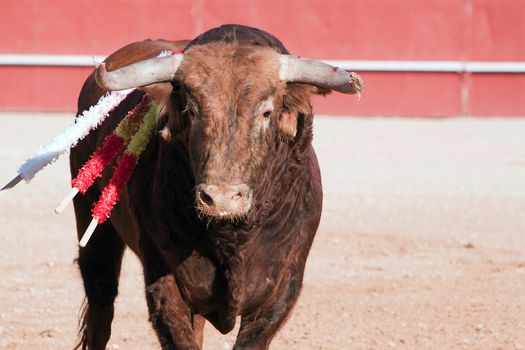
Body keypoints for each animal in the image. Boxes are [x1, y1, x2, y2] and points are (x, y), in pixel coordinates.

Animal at [71, 25, 362, 350]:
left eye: (266, 113)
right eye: (191, 110)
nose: (221, 199)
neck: (231, 236)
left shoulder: (282, 287)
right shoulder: (163, 280)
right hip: (93, 222)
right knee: (101, 300)